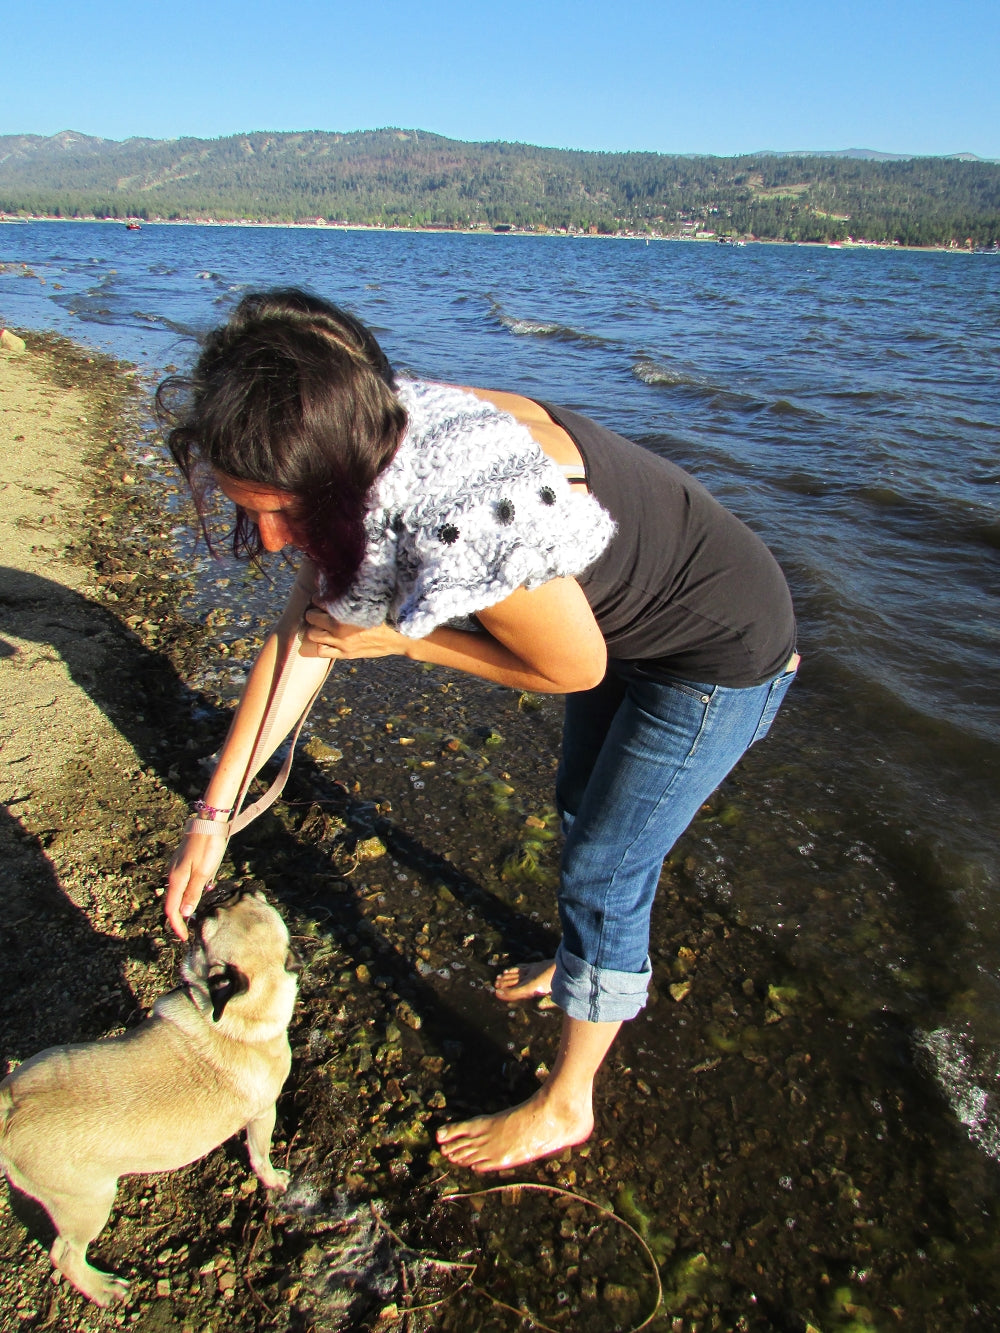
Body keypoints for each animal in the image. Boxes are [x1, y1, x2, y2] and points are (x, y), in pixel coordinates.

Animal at [0, 885, 297, 1301]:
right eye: (209, 920)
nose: (239, 885)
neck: (237, 1019)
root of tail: (10, 1107)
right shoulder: (262, 1115)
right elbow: (260, 1155)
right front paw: (273, 1180)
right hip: (88, 1204)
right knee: (65, 1253)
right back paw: (104, 1289)